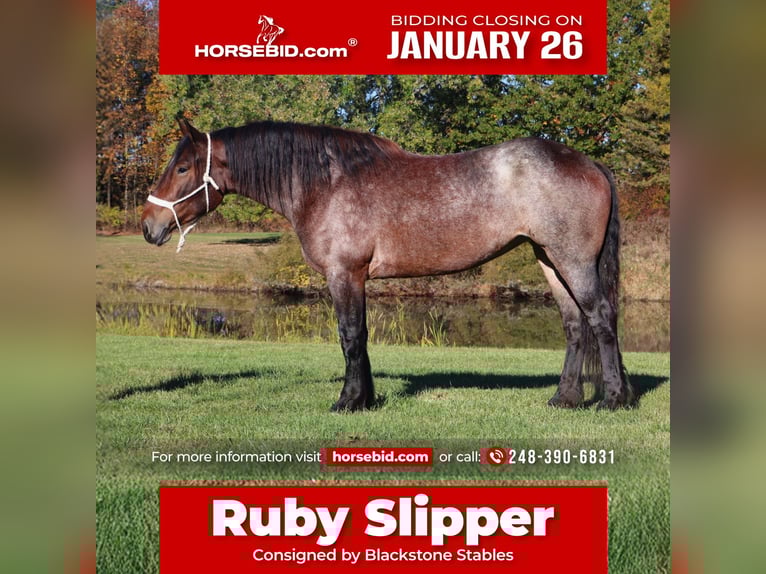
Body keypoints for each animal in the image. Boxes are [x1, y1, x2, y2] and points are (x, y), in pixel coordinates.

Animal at [142, 117, 634, 412]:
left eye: (183, 168)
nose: (148, 225)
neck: (326, 183)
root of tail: (590, 163)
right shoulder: (355, 278)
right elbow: (360, 336)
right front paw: (366, 398)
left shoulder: (344, 274)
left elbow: (349, 335)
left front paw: (348, 401)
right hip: (549, 260)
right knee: (575, 324)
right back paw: (564, 398)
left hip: (573, 261)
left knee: (601, 317)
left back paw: (614, 399)